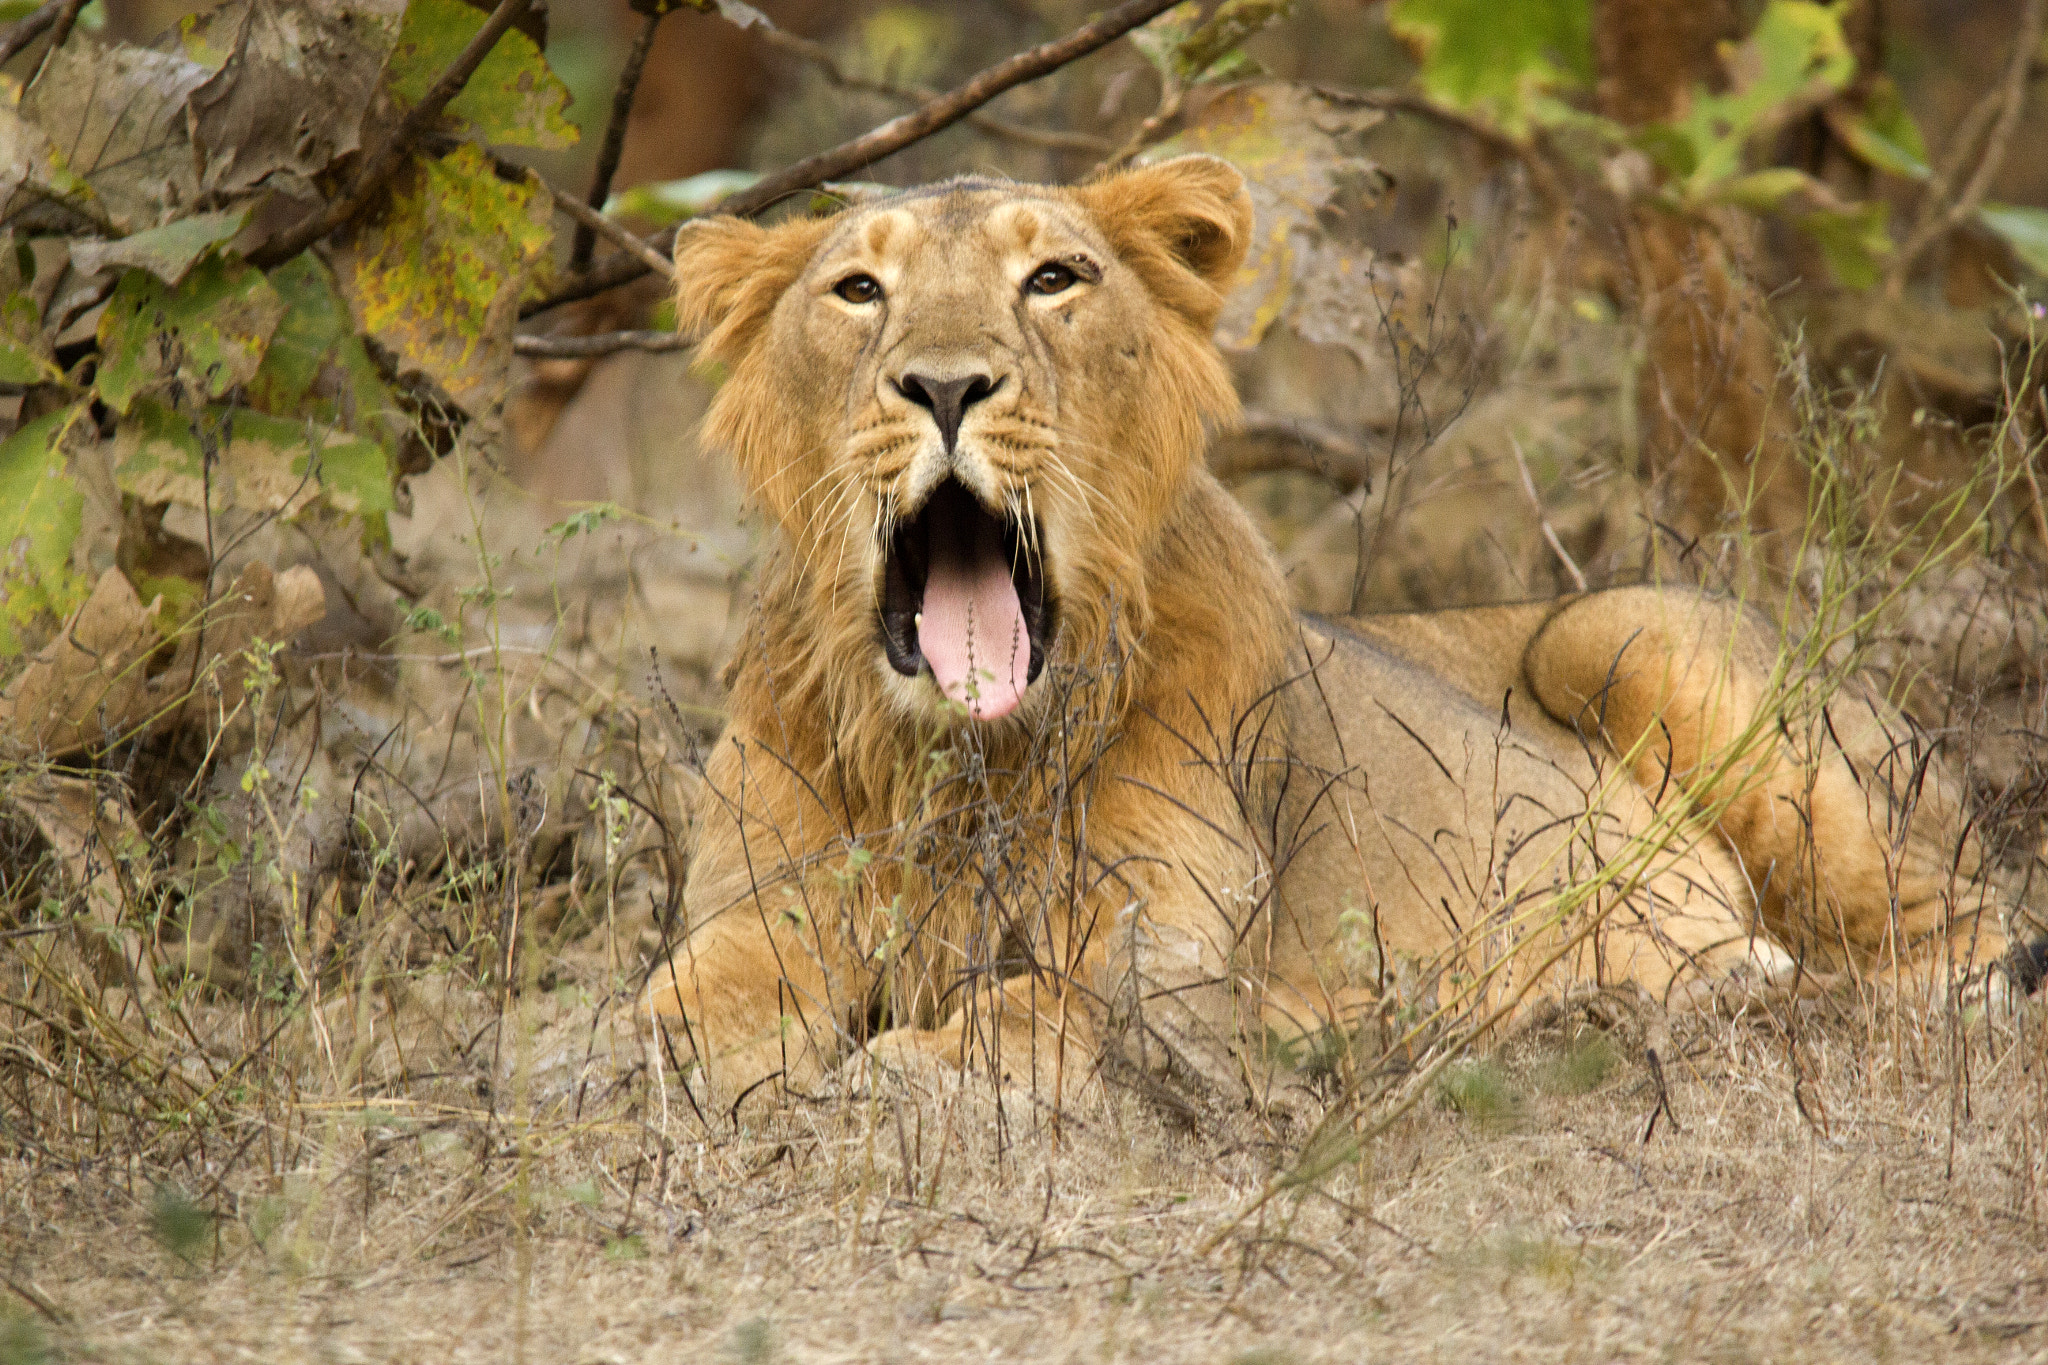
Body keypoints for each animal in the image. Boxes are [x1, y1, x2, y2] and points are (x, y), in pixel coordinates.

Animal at [641, 155, 2047, 1110]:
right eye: (855, 290)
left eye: (1051, 279)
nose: (943, 384)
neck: (958, 767)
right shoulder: (753, 907)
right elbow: (675, 1005)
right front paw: (675, 1072)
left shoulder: (1170, 969)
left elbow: (1034, 1012)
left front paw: (899, 1068)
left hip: (1630, 634)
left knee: (1959, 941)